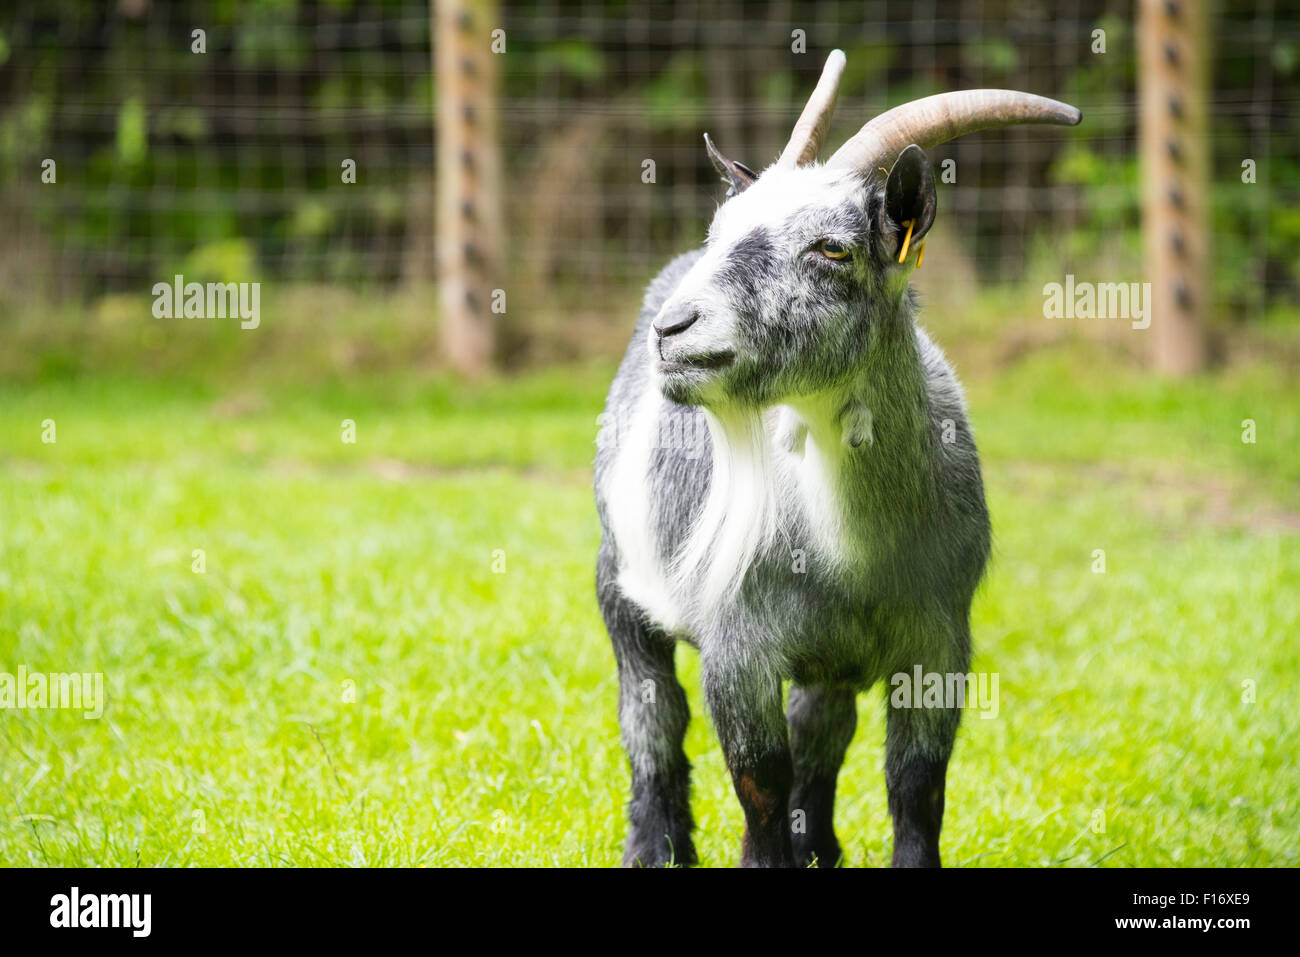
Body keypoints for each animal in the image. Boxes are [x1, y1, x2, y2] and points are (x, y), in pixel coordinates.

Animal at [594, 49, 1080, 868]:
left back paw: (818, 843)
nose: (675, 328)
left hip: (831, 662)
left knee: (820, 730)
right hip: (620, 580)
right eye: (722, 230)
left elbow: (916, 788)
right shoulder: (738, 644)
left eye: (832, 247)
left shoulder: (938, 641)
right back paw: (654, 847)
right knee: (653, 714)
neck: (850, 557)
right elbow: (757, 776)